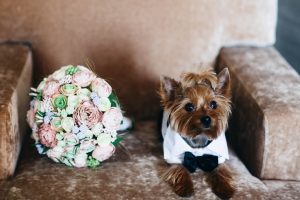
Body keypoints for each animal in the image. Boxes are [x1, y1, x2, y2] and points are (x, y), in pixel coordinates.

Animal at [158, 68, 236, 198]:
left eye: (213, 104)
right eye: (189, 106)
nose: (206, 119)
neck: (200, 135)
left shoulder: (218, 157)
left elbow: (221, 170)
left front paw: (225, 188)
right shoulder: (173, 156)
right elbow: (179, 168)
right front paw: (185, 187)